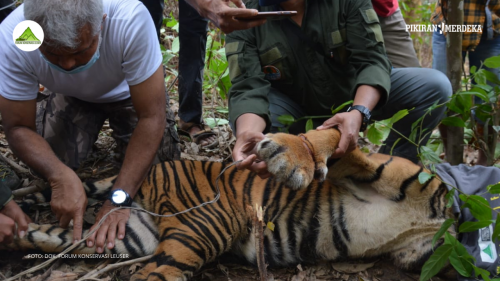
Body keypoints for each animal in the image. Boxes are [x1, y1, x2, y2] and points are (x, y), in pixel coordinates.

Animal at [0, 129, 454, 280]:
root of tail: (157, 169)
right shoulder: (380, 169)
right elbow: (335, 136)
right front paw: (289, 156)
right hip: (201, 229)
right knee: (152, 275)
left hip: (137, 235)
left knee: (51, 236)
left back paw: (12, 232)